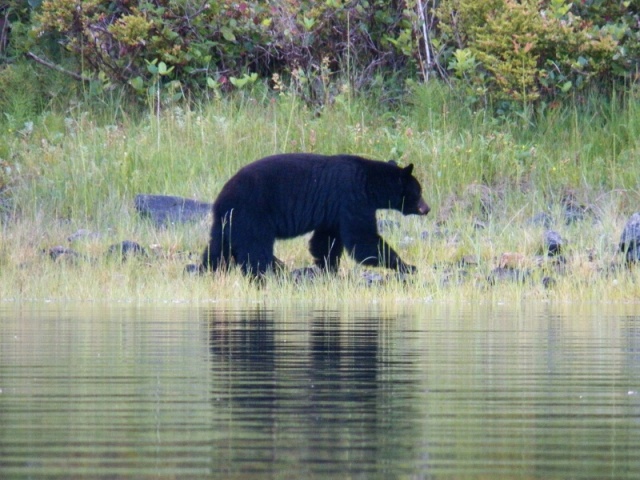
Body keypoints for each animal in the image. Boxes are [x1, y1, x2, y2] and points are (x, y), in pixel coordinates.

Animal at [200, 152, 430, 276]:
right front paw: (407, 266)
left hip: (228, 220)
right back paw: (271, 269)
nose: (427, 208)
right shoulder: (352, 197)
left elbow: (326, 240)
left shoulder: (333, 210)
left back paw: (210, 268)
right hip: (252, 212)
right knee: (255, 247)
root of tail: (222, 197)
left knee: (218, 246)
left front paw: (329, 267)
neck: (370, 182)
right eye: (418, 191)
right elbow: (362, 240)